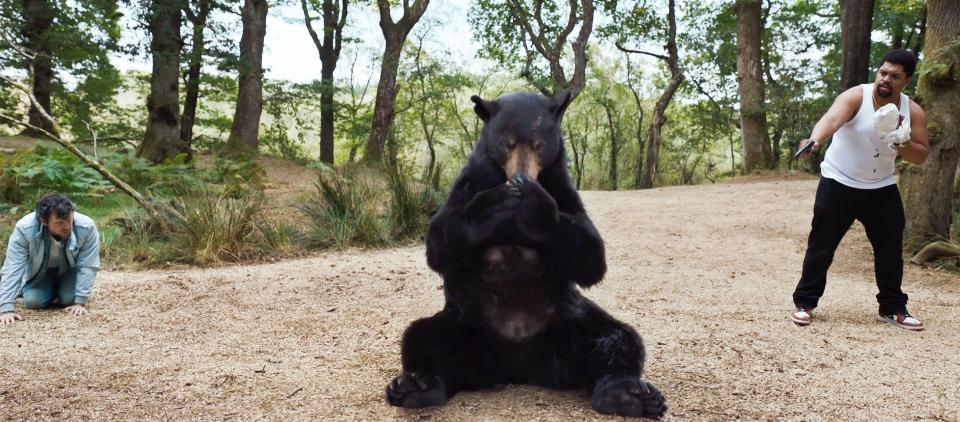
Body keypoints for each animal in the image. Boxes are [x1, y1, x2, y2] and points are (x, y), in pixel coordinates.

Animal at [386, 90, 672, 418]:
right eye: (506, 143)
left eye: (538, 144)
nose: (521, 177)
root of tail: (516, 367)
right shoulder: (470, 181)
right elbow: (440, 241)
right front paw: (496, 202)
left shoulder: (562, 188)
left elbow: (591, 255)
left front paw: (536, 203)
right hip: (463, 320)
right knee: (423, 337)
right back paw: (415, 386)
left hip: (570, 321)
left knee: (619, 338)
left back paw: (629, 394)